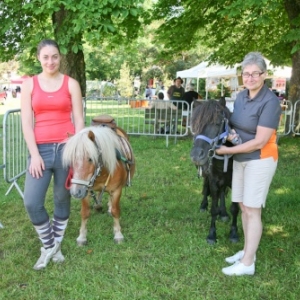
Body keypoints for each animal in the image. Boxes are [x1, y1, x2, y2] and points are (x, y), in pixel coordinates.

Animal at [191, 99, 238, 245]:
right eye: (194, 124)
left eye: (217, 122)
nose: (196, 155)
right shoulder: (213, 179)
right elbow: (213, 208)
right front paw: (212, 235)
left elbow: (234, 208)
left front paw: (234, 233)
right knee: (207, 188)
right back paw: (204, 205)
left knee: (222, 191)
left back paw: (223, 213)